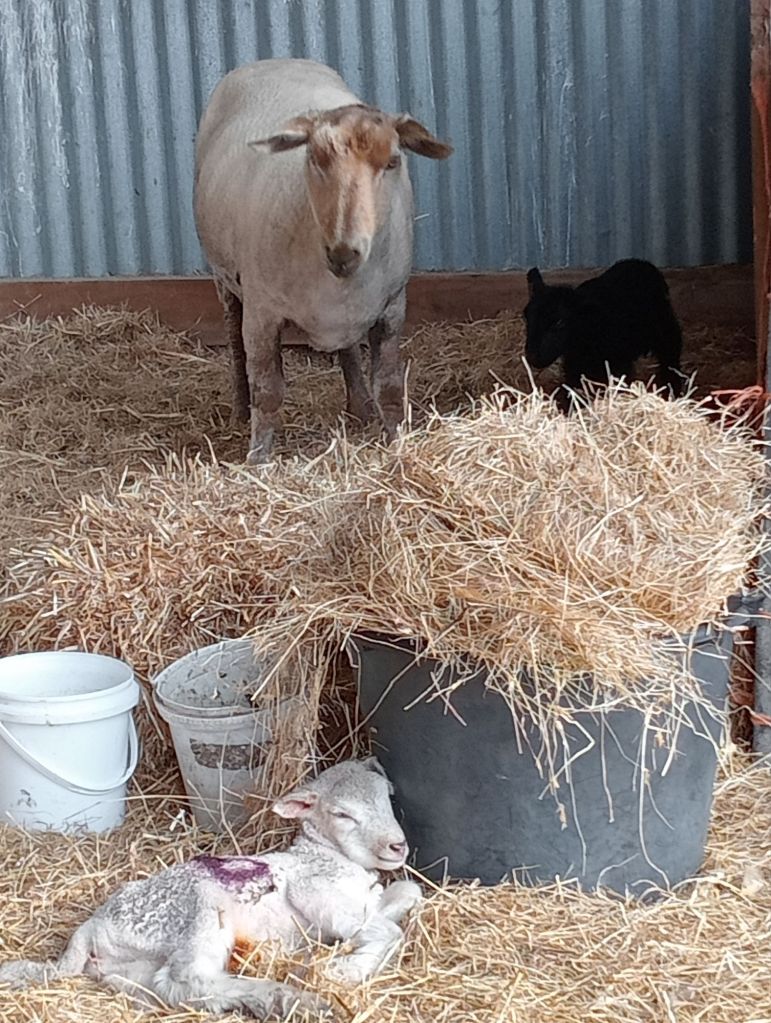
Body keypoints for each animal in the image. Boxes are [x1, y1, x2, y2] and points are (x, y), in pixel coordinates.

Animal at [0, 758, 421, 1019]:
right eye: (342, 814)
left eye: (387, 797)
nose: (397, 845)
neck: (327, 854)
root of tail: (90, 927)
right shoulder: (318, 892)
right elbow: (389, 931)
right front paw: (344, 969)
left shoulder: (368, 900)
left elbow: (407, 893)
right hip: (199, 908)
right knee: (185, 980)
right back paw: (291, 997)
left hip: (128, 971)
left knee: (169, 993)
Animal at [194, 58, 452, 463]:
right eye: (314, 158)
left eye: (393, 161)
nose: (344, 251)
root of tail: (274, 60)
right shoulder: (262, 313)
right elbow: (268, 390)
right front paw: (258, 458)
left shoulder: (392, 306)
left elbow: (390, 387)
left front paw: (398, 444)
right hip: (224, 279)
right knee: (234, 339)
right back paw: (240, 410)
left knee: (349, 351)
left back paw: (359, 407)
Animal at [523, 259, 684, 407]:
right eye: (527, 317)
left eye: (559, 322)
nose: (532, 357)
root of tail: (642, 263)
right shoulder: (574, 364)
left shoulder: (620, 363)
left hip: (666, 328)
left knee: (671, 354)